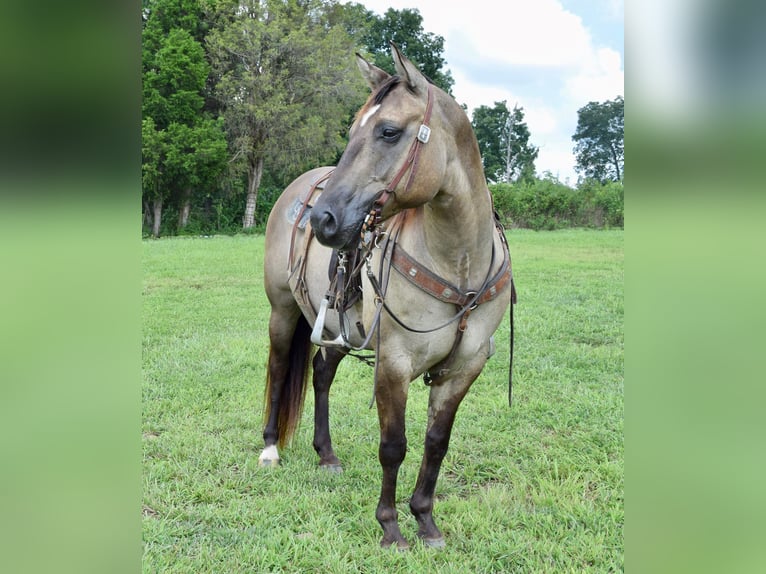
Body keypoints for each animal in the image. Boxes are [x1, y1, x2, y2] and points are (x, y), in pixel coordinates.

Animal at [260, 44, 520, 548]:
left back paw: (326, 454)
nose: (323, 219)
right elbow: (393, 445)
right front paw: (391, 526)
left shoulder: (464, 367)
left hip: (339, 327)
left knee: (321, 373)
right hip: (282, 311)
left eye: (388, 131)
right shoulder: (394, 362)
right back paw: (269, 449)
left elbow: (436, 443)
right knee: (281, 368)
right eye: (351, 132)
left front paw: (425, 520)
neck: (458, 263)